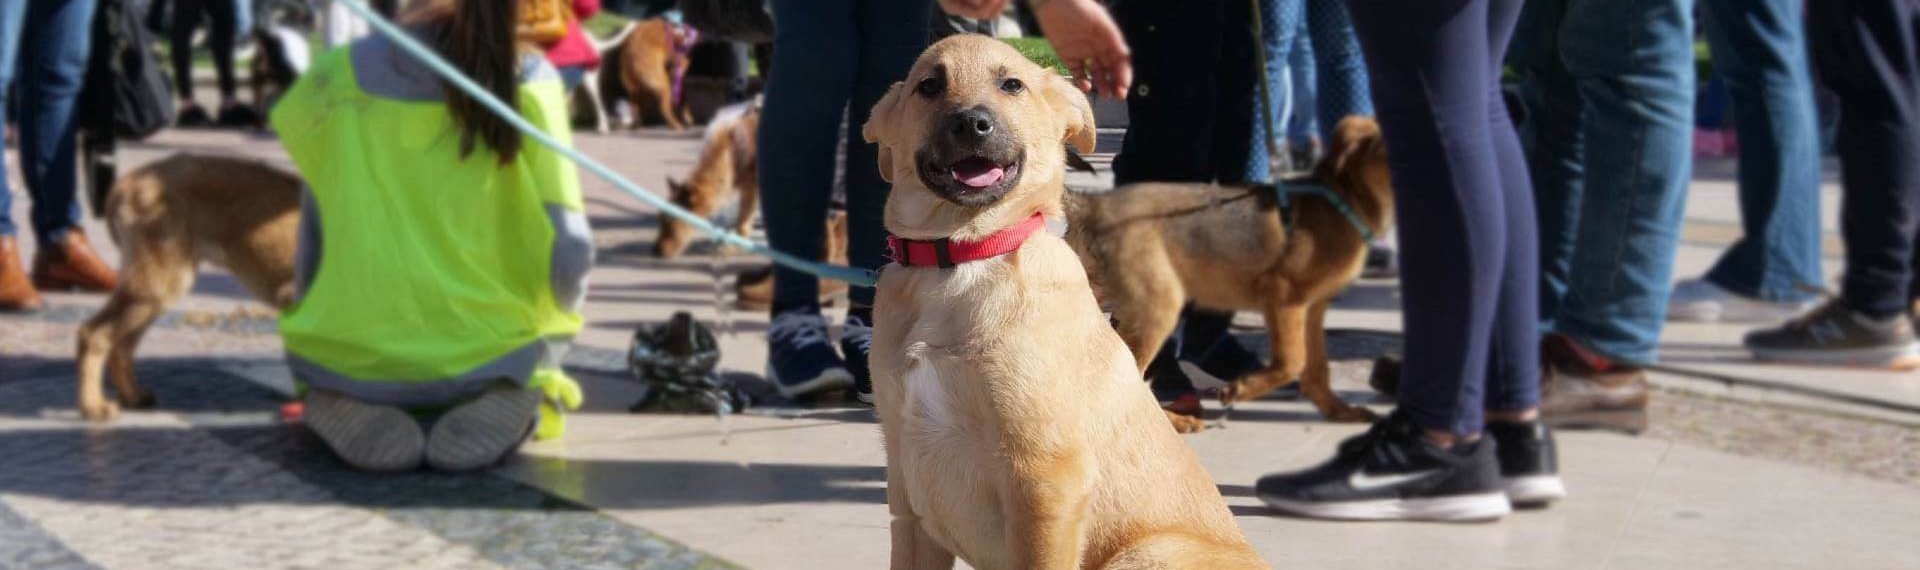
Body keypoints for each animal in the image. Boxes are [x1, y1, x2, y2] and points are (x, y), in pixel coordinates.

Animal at [75, 154, 302, 421]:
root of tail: (129, 181)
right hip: (156, 287)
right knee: (93, 334)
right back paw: (93, 405)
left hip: (152, 292)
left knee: (121, 346)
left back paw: (132, 396)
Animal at [655, 98, 761, 258]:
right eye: (660, 219)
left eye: (673, 220)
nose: (654, 251)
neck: (730, 155)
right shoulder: (746, 189)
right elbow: (742, 221)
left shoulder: (751, 189)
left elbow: (742, 223)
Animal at [862, 36, 1268, 570]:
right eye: (929, 86)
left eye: (1012, 85)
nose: (972, 124)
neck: (961, 258)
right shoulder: (907, 487)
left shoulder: (1045, 479)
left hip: (1145, 553)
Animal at [1065, 117, 1395, 431]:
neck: (1345, 201)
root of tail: (1091, 205)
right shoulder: (1284, 297)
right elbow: (1293, 360)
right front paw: (1240, 389)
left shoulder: (1313, 306)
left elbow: (1317, 368)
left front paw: (1338, 411)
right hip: (1158, 306)